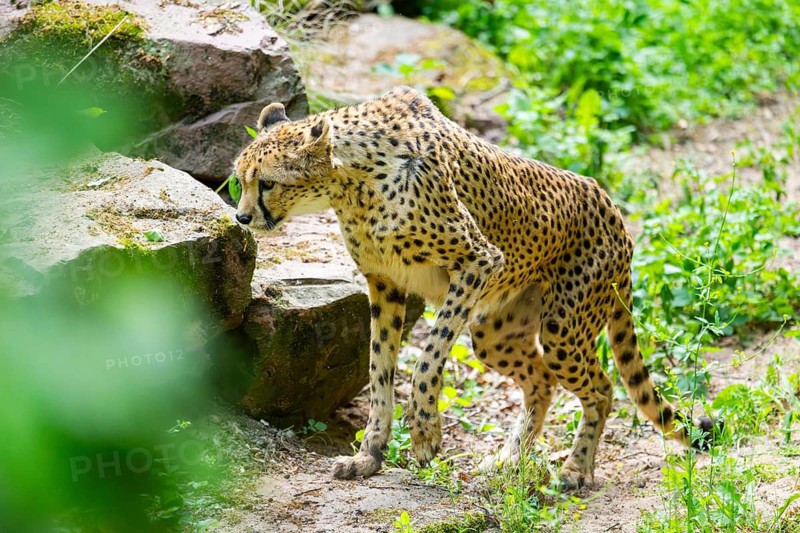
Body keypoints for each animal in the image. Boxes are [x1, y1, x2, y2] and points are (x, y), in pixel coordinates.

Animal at [232, 86, 718, 488]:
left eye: (268, 183)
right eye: (240, 179)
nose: (242, 217)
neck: (352, 181)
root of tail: (611, 205)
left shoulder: (479, 262)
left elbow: (425, 361)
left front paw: (425, 435)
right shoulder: (384, 285)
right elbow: (379, 371)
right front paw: (368, 456)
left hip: (562, 327)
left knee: (601, 387)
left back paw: (576, 470)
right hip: (494, 332)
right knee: (542, 381)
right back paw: (508, 460)